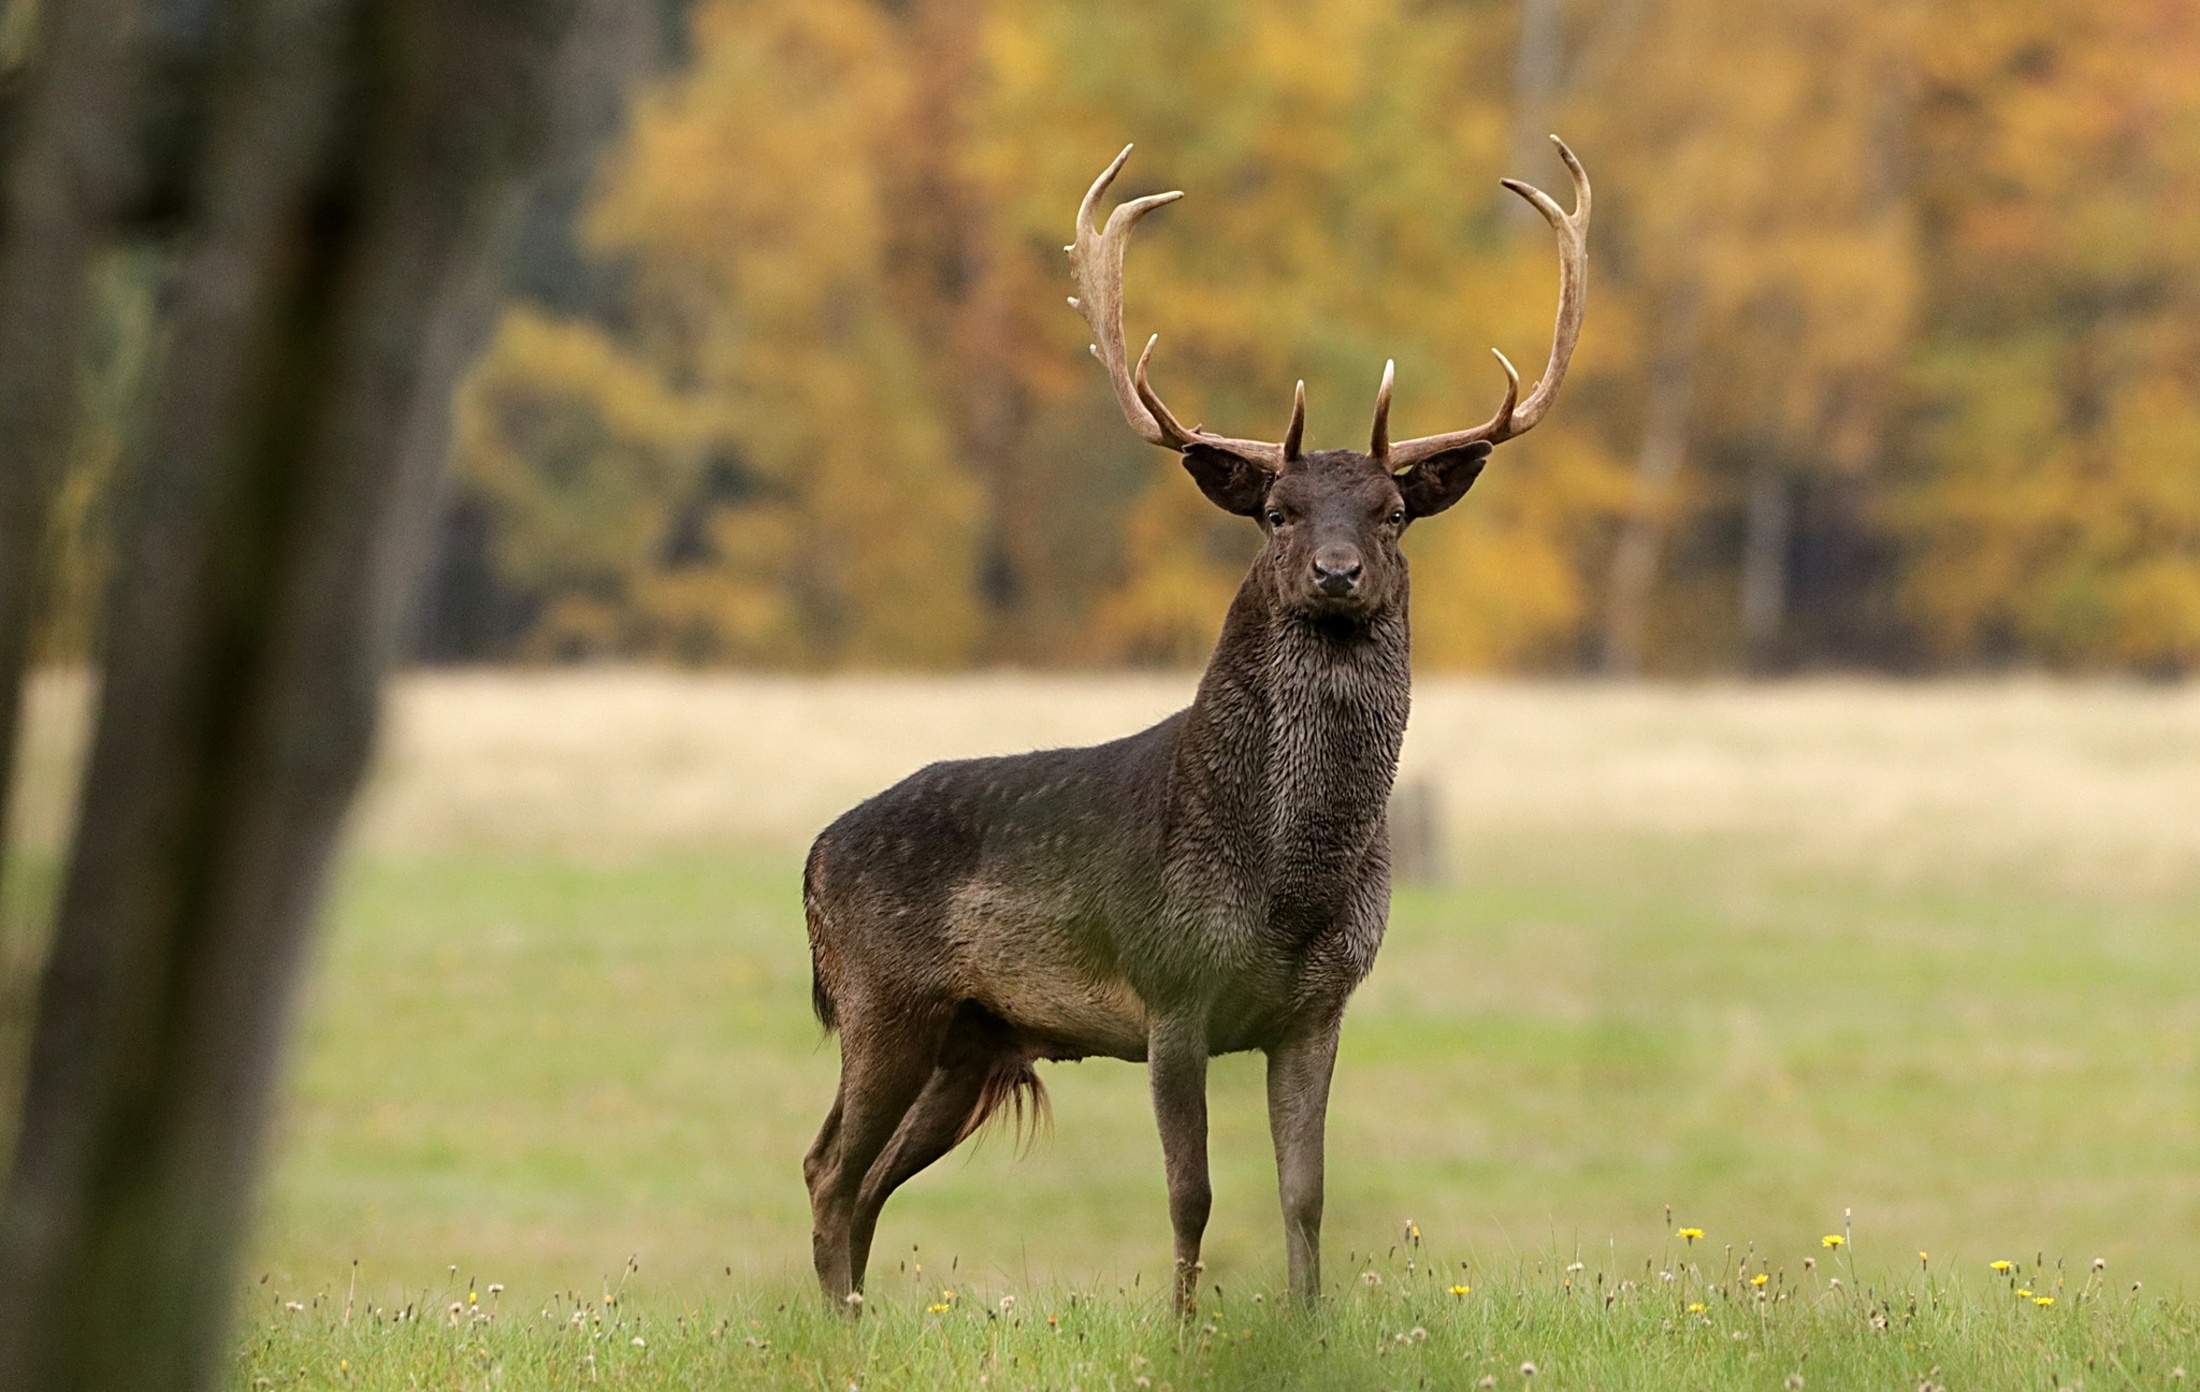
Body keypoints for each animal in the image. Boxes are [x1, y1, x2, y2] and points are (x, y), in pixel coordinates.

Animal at [800, 135, 1592, 1310]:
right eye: (1276, 513)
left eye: (1394, 513)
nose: (1338, 571)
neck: (1288, 884)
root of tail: (810, 856)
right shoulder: (1170, 993)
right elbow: (1192, 1195)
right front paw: (1182, 1326)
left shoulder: (1318, 1008)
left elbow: (1304, 1194)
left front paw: (1309, 1325)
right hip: (880, 998)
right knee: (826, 1169)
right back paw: (833, 1330)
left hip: (973, 1041)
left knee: (865, 1182)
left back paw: (859, 1324)